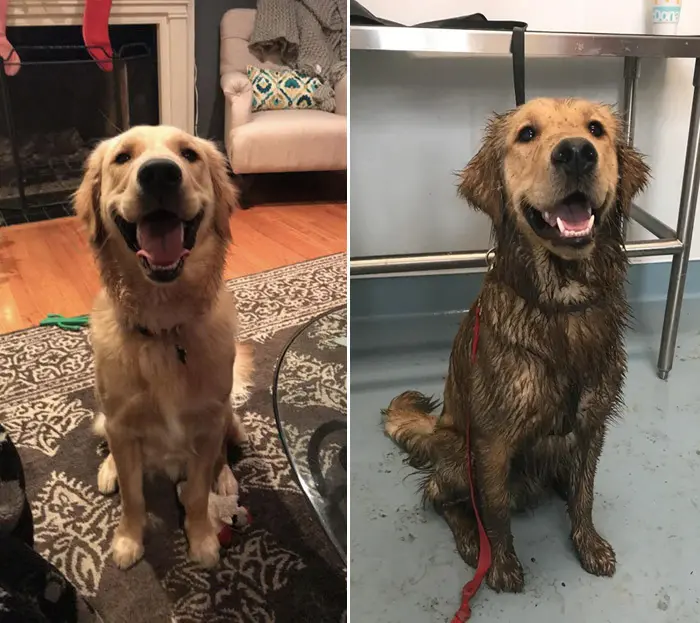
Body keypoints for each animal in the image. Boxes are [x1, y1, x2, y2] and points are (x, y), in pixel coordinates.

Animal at [72, 125, 250, 572]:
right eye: (122, 157)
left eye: (189, 154)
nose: (158, 174)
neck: (165, 329)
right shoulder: (121, 423)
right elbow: (133, 496)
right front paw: (128, 540)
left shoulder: (207, 424)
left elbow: (198, 493)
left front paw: (202, 538)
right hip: (106, 419)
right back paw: (108, 470)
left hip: (229, 416)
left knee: (224, 451)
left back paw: (226, 476)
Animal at [382, 98, 652, 596]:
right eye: (527, 134)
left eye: (596, 129)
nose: (577, 153)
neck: (563, 303)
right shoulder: (492, 442)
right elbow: (495, 512)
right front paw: (502, 563)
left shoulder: (592, 424)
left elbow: (585, 494)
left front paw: (588, 544)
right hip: (457, 454)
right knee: (438, 494)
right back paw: (470, 539)